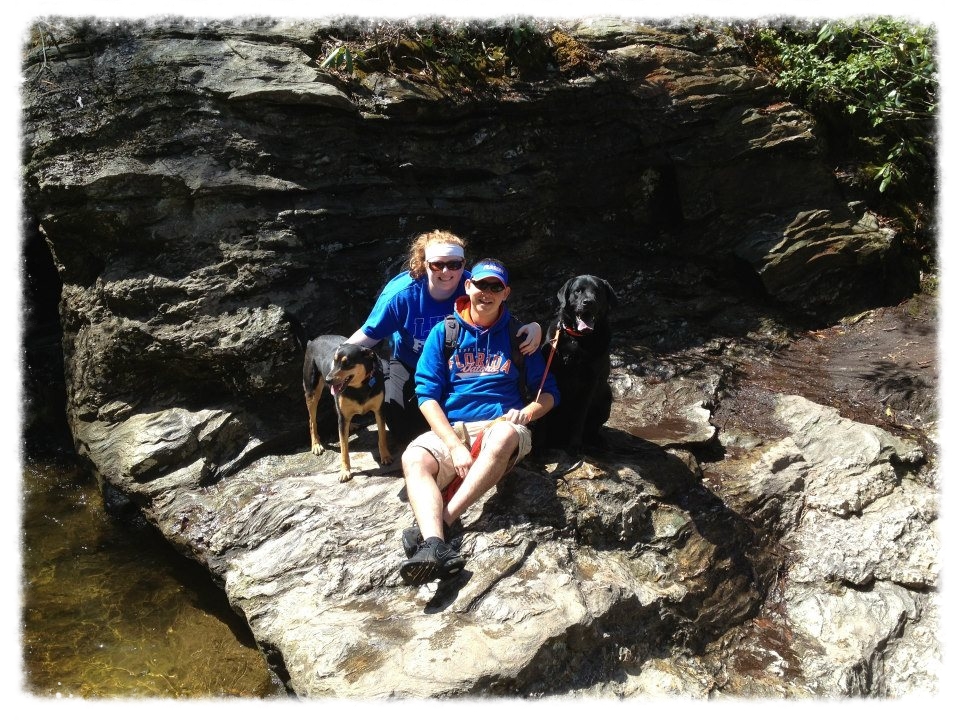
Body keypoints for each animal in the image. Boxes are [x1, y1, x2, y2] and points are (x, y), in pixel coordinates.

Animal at [300, 338, 390, 484]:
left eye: (347, 363)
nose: (328, 380)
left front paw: (386, 456)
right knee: (312, 420)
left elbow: (382, 436)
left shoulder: (379, 411)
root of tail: (312, 341)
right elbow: (343, 448)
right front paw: (345, 472)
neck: (359, 387)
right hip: (311, 392)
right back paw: (316, 444)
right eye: (334, 361)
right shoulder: (342, 420)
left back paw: (351, 425)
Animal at [536, 272, 620, 452]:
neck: (578, 339)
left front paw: (574, 445)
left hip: (606, 395)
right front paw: (540, 445)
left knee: (592, 428)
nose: (588, 302)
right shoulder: (548, 374)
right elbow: (544, 414)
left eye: (597, 291)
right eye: (578, 291)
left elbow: (579, 418)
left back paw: (598, 440)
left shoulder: (589, 384)